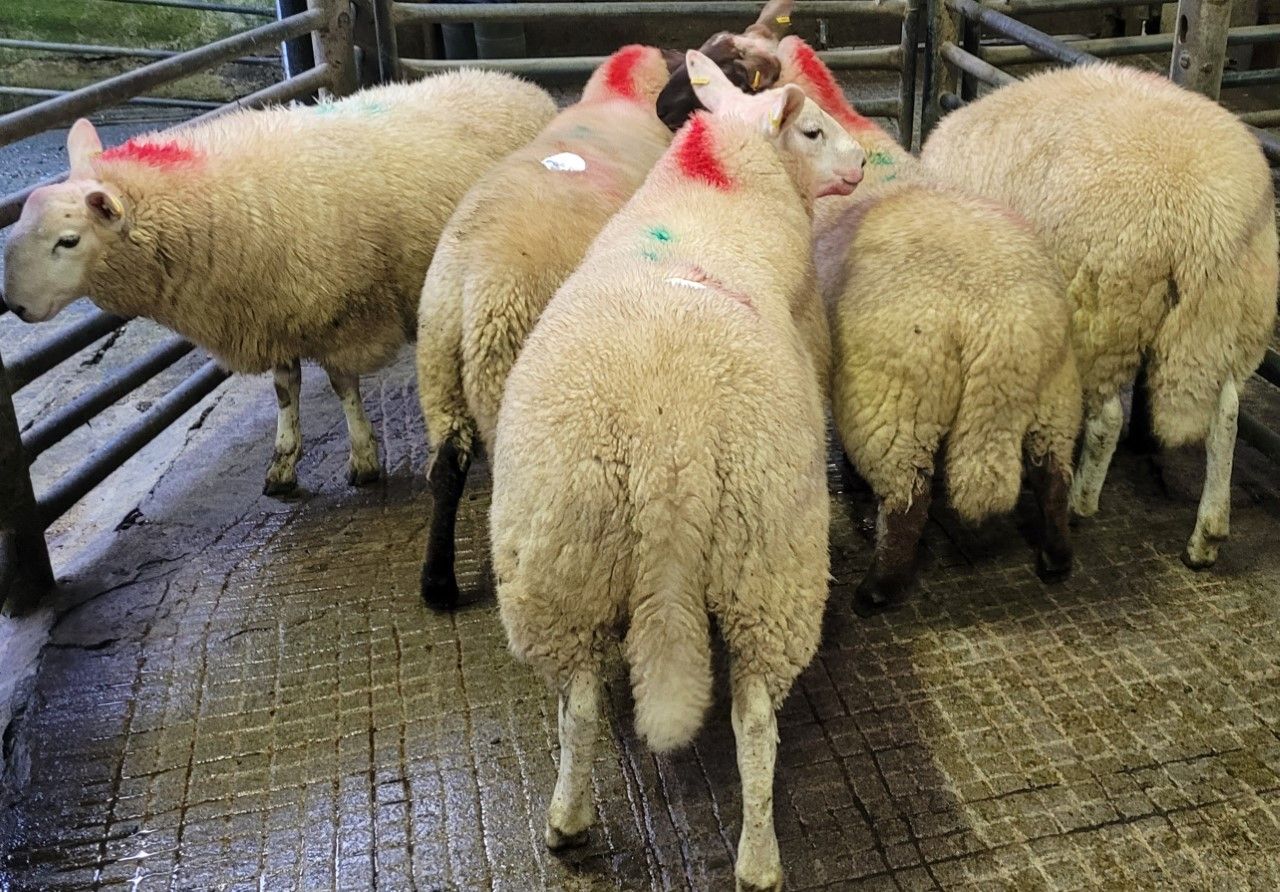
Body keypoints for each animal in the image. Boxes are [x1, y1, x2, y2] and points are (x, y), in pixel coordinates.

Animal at [2, 71, 557, 496]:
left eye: (68, 241)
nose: (15, 306)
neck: (210, 209)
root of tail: (516, 82)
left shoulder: (343, 310)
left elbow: (342, 384)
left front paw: (363, 460)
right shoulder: (272, 313)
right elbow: (285, 391)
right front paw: (283, 463)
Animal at [488, 51, 864, 892]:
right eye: (814, 130)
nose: (862, 163)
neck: (721, 176)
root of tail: (672, 449)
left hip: (559, 554)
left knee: (579, 706)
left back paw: (566, 821)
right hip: (769, 563)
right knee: (754, 720)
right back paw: (758, 859)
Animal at [773, 36, 1082, 612]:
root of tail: (995, 322)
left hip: (894, 403)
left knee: (907, 500)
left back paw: (878, 588)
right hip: (1055, 390)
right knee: (1053, 478)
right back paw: (1056, 557)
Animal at [919, 64, 1279, 569]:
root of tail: (1207, 228)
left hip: (1104, 314)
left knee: (1108, 418)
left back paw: (1082, 502)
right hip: (1232, 322)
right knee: (1224, 416)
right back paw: (1207, 535)